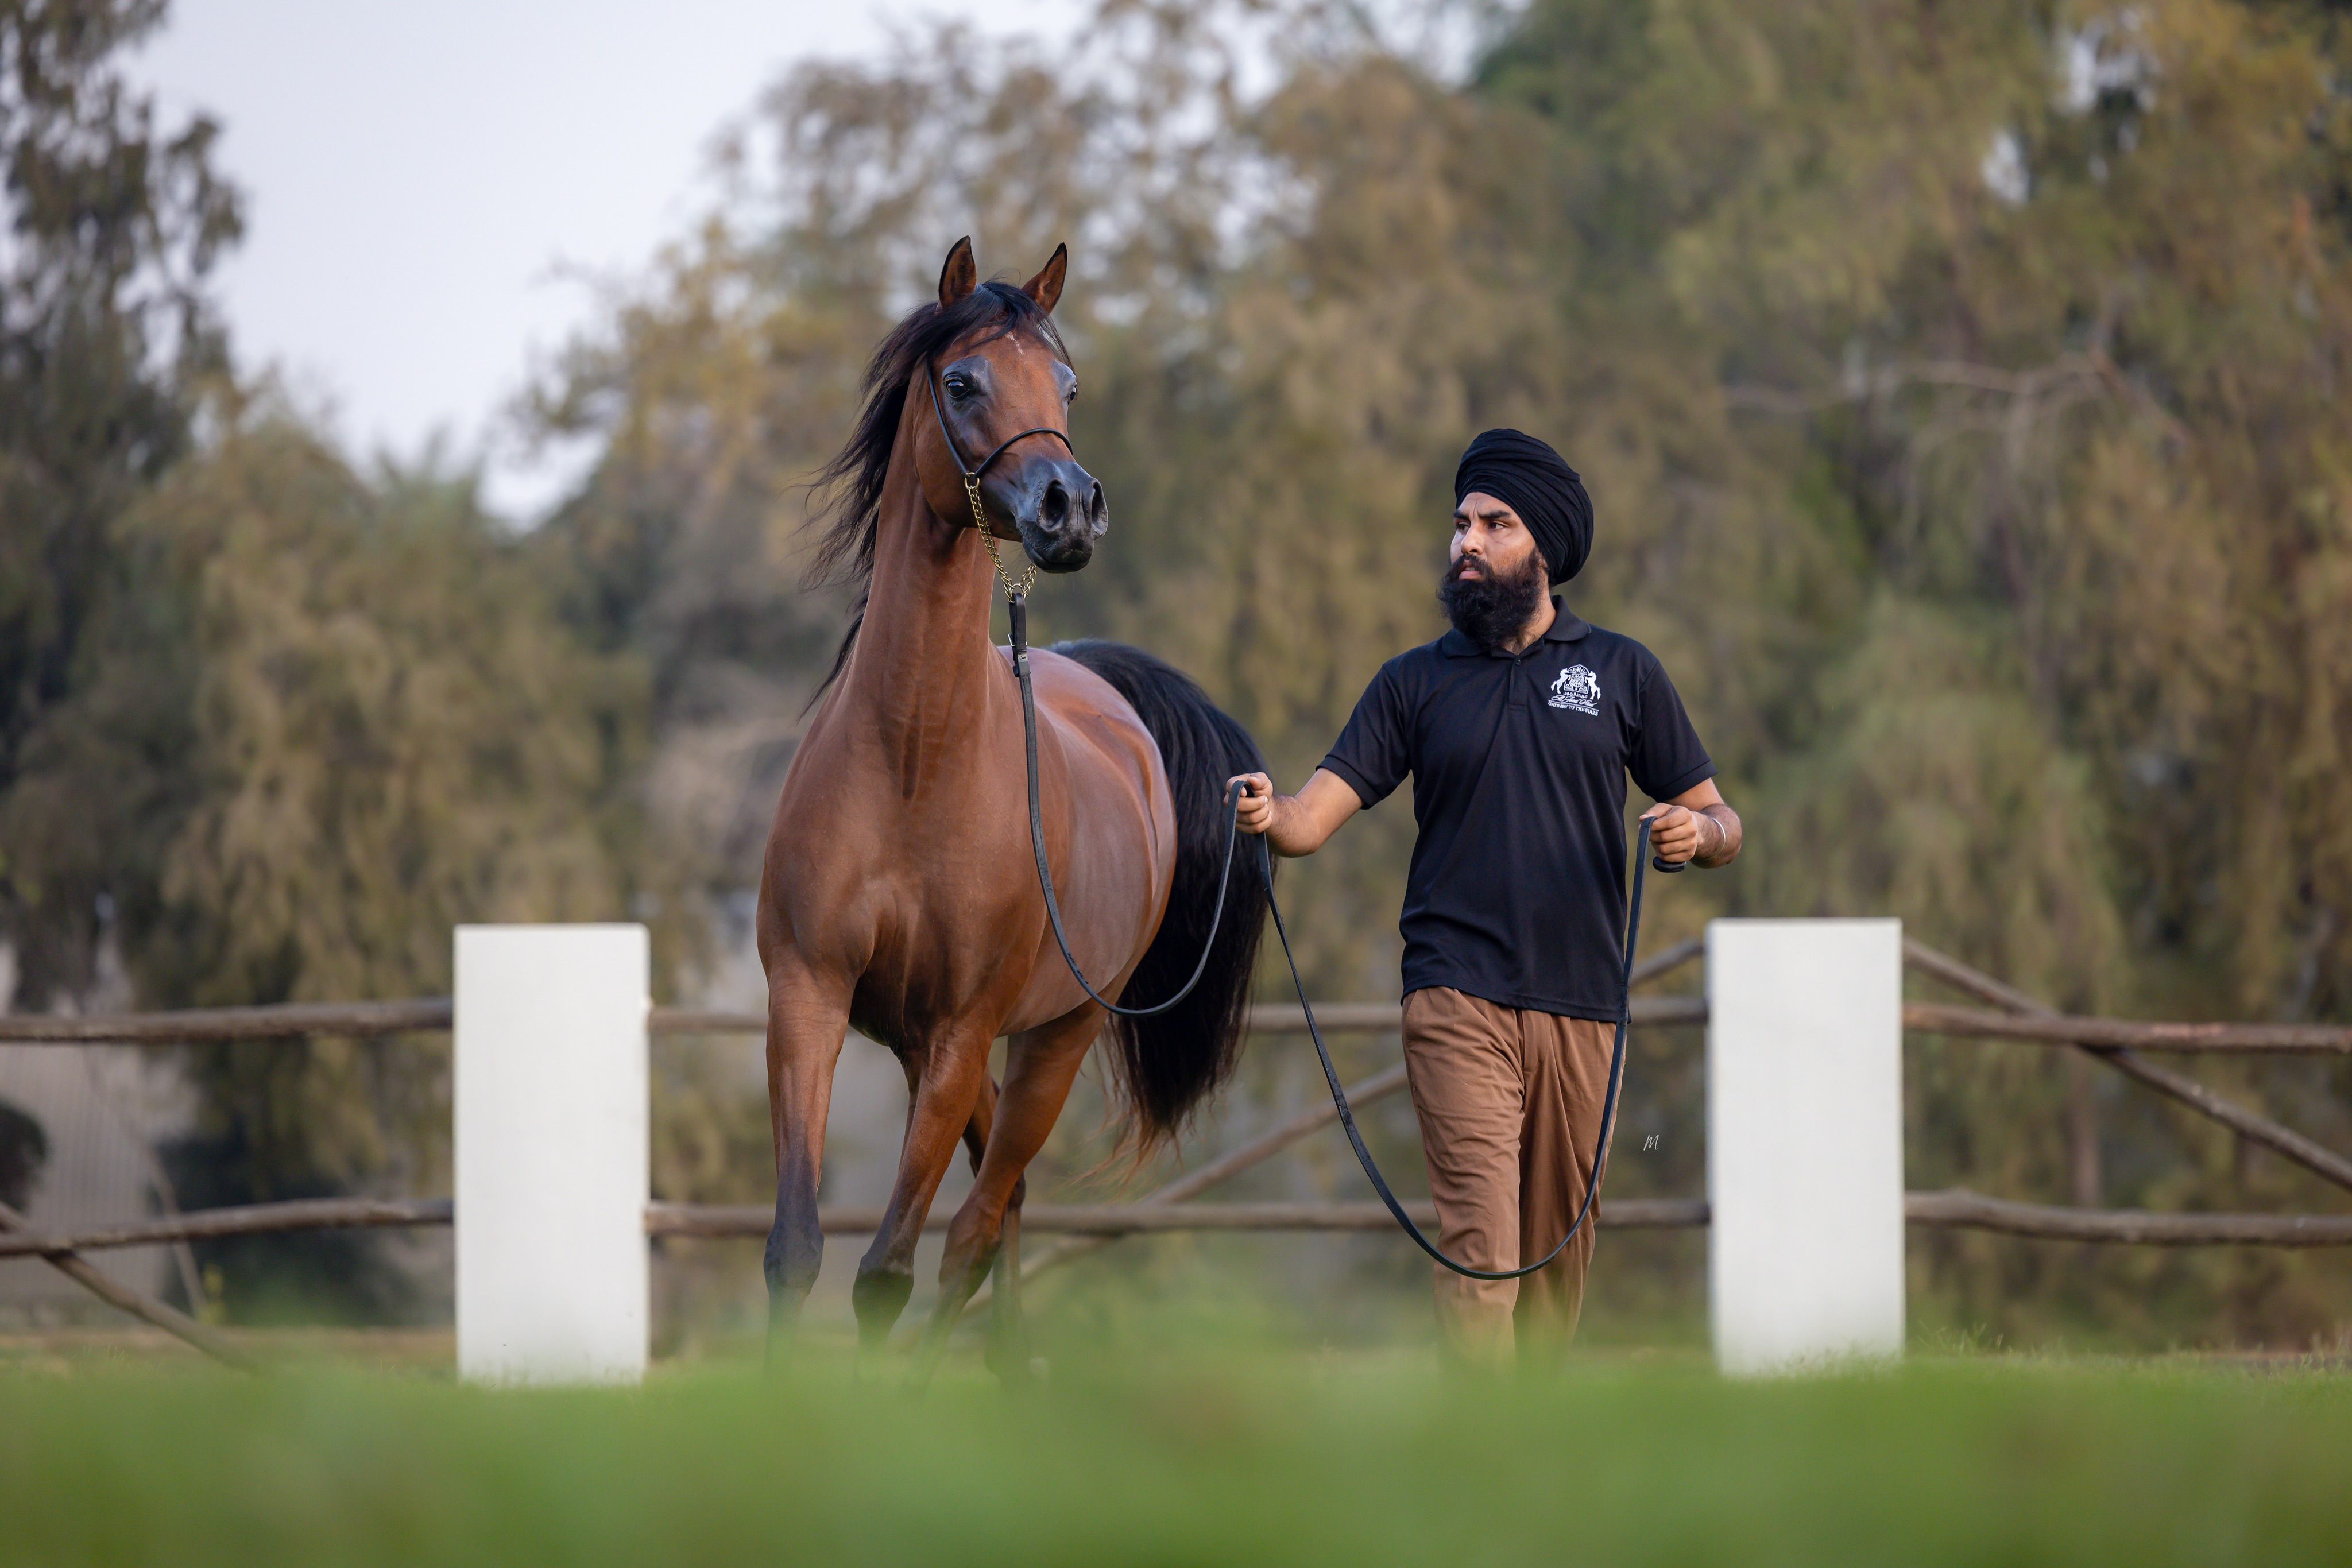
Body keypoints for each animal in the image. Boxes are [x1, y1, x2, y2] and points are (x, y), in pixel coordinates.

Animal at [756, 236, 1270, 1380]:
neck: (914, 762)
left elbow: (891, 1269)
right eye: (962, 382)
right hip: (932, 1049)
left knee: (981, 1223)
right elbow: (796, 1248)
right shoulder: (810, 1000)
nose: (1069, 507)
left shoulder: (960, 1033)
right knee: (1006, 1204)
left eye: (1067, 384)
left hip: (1051, 1042)